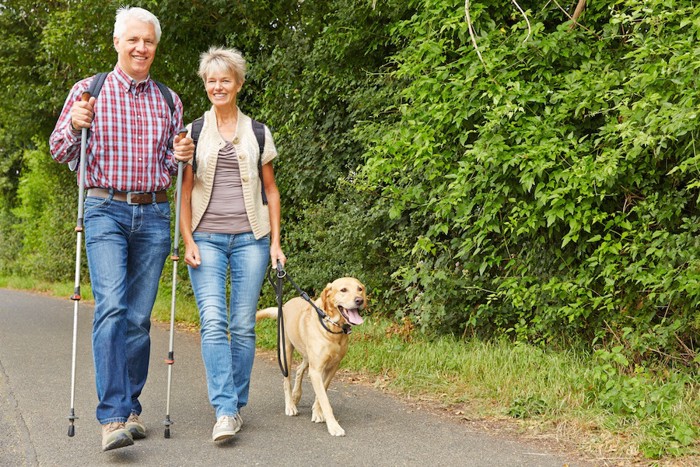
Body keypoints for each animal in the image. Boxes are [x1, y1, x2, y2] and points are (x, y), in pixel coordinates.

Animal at [256, 276, 366, 436]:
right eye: (343, 290)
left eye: (360, 289)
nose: (359, 300)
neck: (332, 328)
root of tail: (284, 306)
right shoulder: (316, 370)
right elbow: (325, 400)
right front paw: (333, 426)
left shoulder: (332, 368)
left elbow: (322, 392)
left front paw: (317, 412)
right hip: (286, 353)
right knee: (286, 381)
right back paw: (290, 405)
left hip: (308, 357)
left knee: (300, 370)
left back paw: (296, 395)